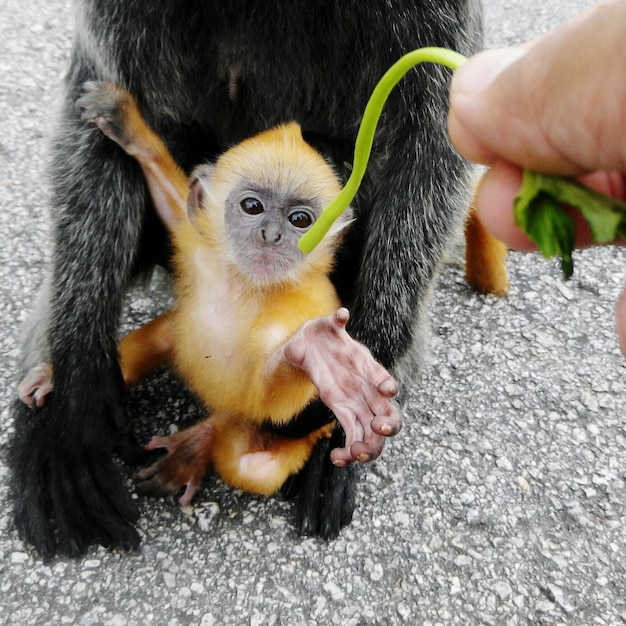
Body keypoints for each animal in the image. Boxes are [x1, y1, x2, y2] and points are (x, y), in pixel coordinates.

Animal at [19, 81, 400, 502]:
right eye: (252, 206)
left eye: (300, 219)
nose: (271, 235)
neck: (246, 286)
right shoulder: (200, 247)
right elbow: (175, 206)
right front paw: (129, 128)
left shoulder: (305, 308)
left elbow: (272, 399)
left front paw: (316, 351)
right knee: (171, 333)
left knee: (249, 454)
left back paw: (200, 443)